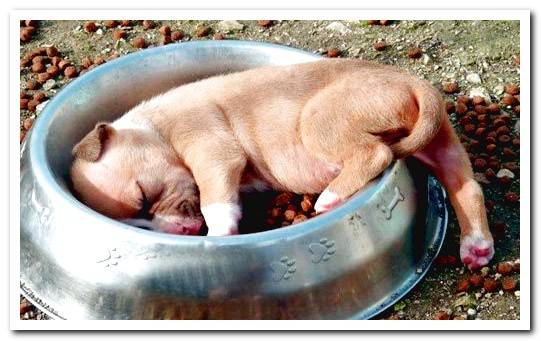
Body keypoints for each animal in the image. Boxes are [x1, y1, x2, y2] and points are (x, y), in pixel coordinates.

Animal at [70, 59, 494, 270]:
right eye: (139, 222)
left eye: (144, 196)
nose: (186, 234)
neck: (155, 128)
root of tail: (411, 82)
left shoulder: (212, 149)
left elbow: (215, 200)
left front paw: (219, 235)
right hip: (441, 147)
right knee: (467, 187)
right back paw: (476, 246)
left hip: (319, 121)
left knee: (375, 154)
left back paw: (330, 198)